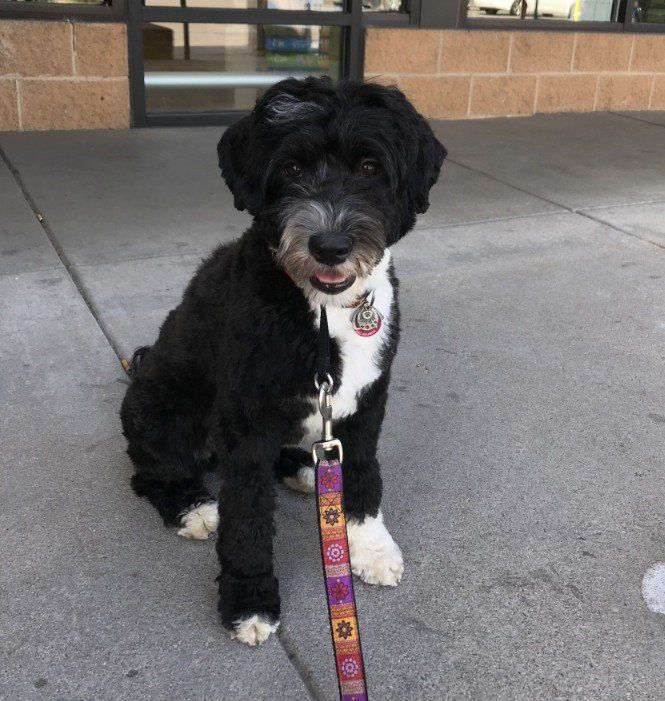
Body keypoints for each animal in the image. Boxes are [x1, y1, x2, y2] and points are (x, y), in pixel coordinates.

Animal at [120, 76, 446, 644]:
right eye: (291, 169)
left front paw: (368, 547)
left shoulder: (367, 402)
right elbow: (247, 517)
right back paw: (191, 507)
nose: (330, 244)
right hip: (163, 409)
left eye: (370, 168)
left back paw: (300, 466)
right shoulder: (246, 424)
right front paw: (249, 599)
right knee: (152, 471)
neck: (325, 312)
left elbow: (364, 474)